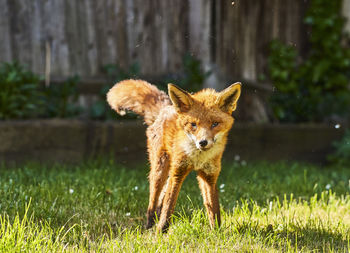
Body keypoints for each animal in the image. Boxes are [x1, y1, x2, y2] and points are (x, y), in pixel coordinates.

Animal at [107, 79, 241, 233]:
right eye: (193, 125)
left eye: (215, 124)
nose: (202, 142)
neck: (197, 158)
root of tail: (165, 108)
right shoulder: (178, 173)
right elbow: (169, 206)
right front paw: (161, 232)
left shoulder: (209, 176)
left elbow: (213, 208)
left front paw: (216, 232)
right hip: (160, 172)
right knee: (154, 202)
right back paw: (149, 226)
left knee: (161, 200)